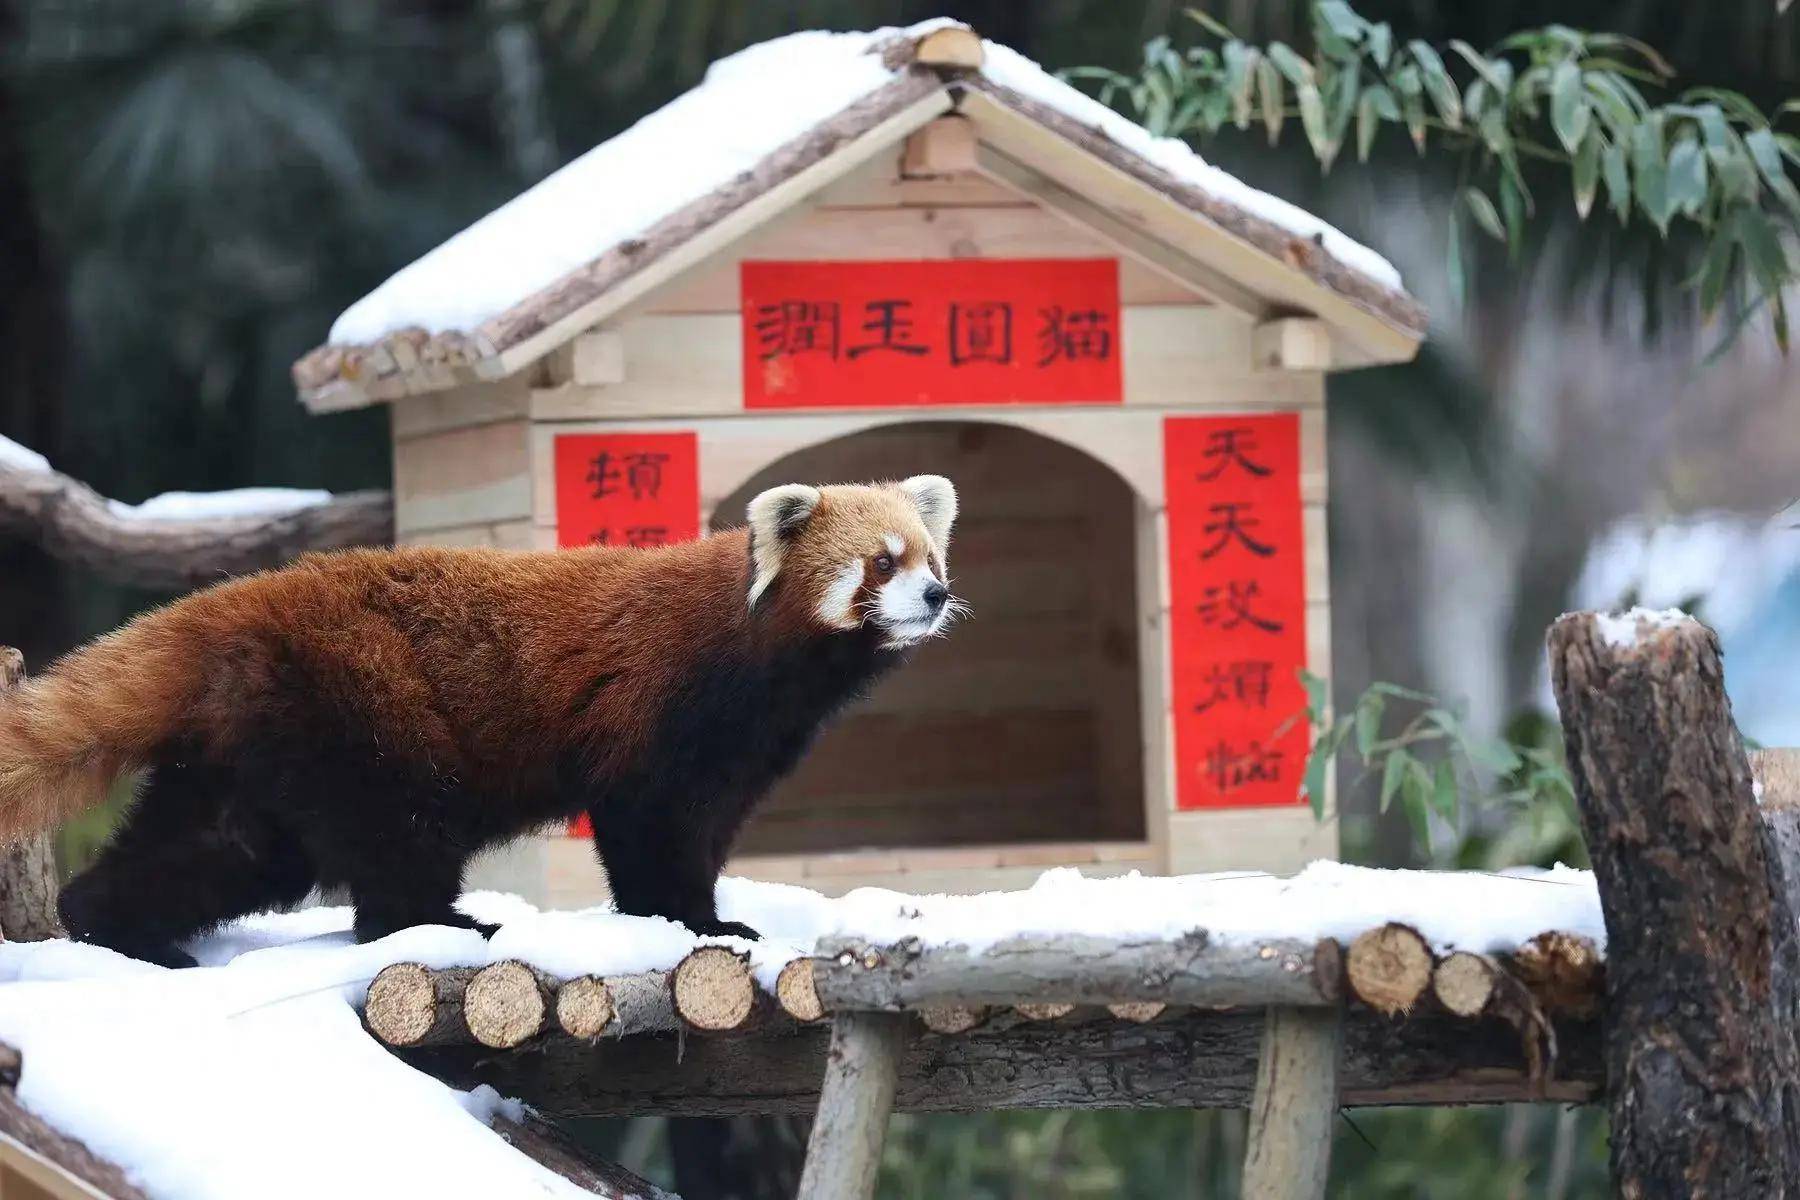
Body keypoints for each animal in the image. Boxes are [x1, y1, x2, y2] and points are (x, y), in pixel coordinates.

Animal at [0, 474, 964, 964]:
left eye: (930, 556)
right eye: (881, 564)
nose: (935, 595)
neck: (766, 665)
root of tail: (233, 601)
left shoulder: (744, 747)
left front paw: (703, 914)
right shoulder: (661, 710)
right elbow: (651, 825)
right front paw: (692, 918)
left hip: (248, 750)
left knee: (216, 849)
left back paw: (119, 931)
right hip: (362, 706)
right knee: (395, 838)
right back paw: (440, 923)